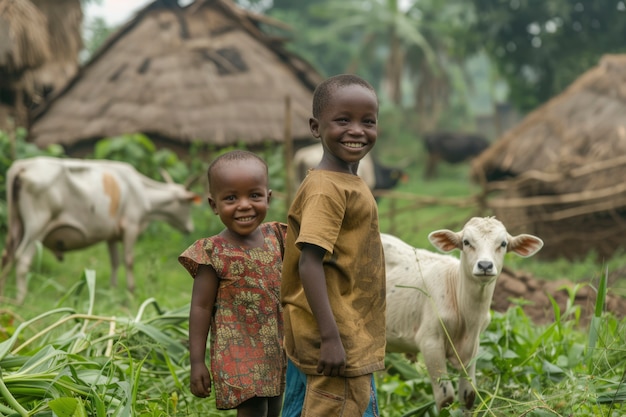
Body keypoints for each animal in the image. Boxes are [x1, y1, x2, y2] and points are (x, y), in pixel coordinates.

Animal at [0, 156, 200, 302]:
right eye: (188, 206)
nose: (190, 228)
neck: (141, 190)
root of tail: (23, 165)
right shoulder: (131, 227)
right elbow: (129, 260)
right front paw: (131, 292)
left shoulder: (111, 235)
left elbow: (115, 262)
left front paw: (112, 290)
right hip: (37, 227)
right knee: (22, 258)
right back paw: (21, 298)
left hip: (16, 225)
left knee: (7, 255)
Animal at [380, 218, 540, 410]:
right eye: (466, 242)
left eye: (503, 243)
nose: (485, 265)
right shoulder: (430, 341)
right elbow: (446, 398)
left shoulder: (474, 345)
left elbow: (468, 395)